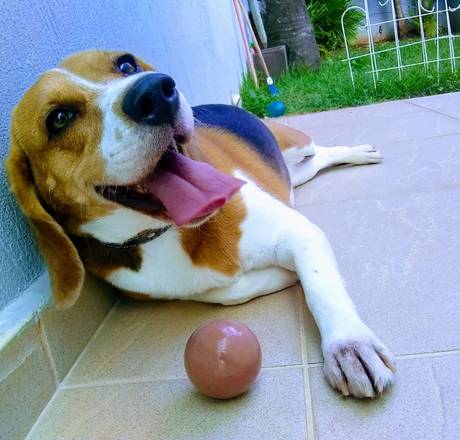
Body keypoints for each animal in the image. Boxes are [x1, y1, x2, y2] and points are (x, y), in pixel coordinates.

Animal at [7, 50, 395, 398]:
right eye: (59, 118)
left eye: (126, 65)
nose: (156, 90)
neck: (166, 230)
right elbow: (226, 292)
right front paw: (279, 277)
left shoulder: (299, 232)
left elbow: (321, 289)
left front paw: (350, 346)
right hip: (293, 174)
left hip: (297, 146)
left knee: (321, 152)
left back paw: (358, 152)